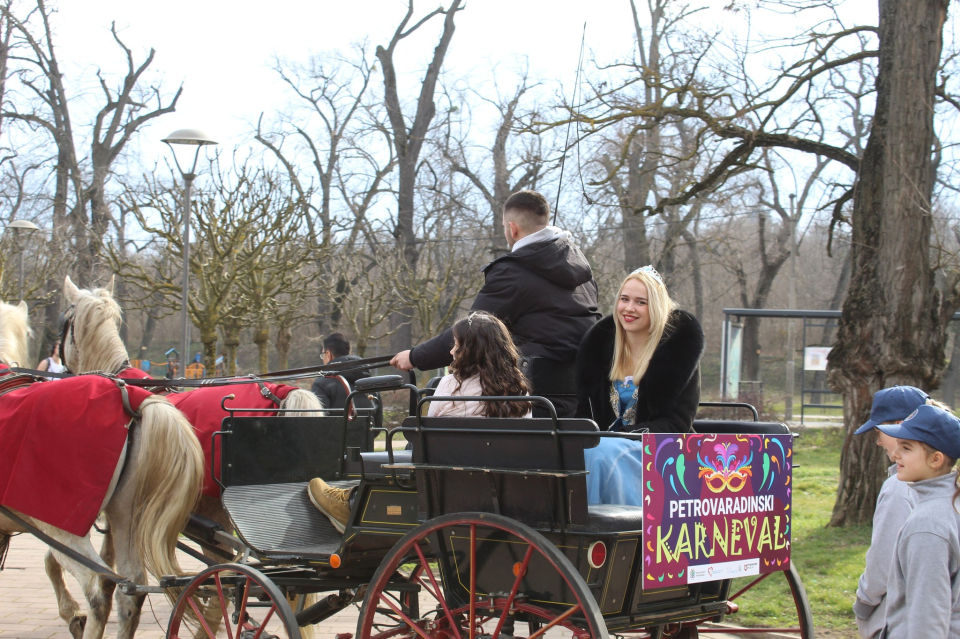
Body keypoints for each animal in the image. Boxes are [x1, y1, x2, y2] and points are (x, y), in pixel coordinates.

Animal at [0, 299, 205, 639]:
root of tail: (133, 401)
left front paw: (73, 614)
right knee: (130, 586)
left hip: (61, 526)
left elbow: (51, 561)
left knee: (101, 585)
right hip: (126, 515)